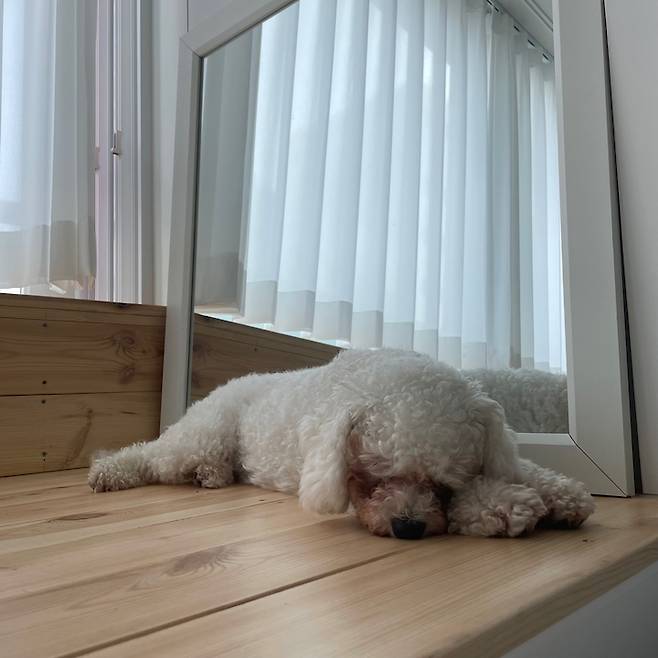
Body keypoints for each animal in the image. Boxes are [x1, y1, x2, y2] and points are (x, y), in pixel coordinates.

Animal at [89, 349, 594, 539]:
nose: (408, 527)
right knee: (152, 456)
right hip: (204, 434)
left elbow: (523, 470)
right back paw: (109, 472)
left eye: (444, 483)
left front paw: (561, 495)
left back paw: (211, 477)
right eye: (373, 474)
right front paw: (507, 507)